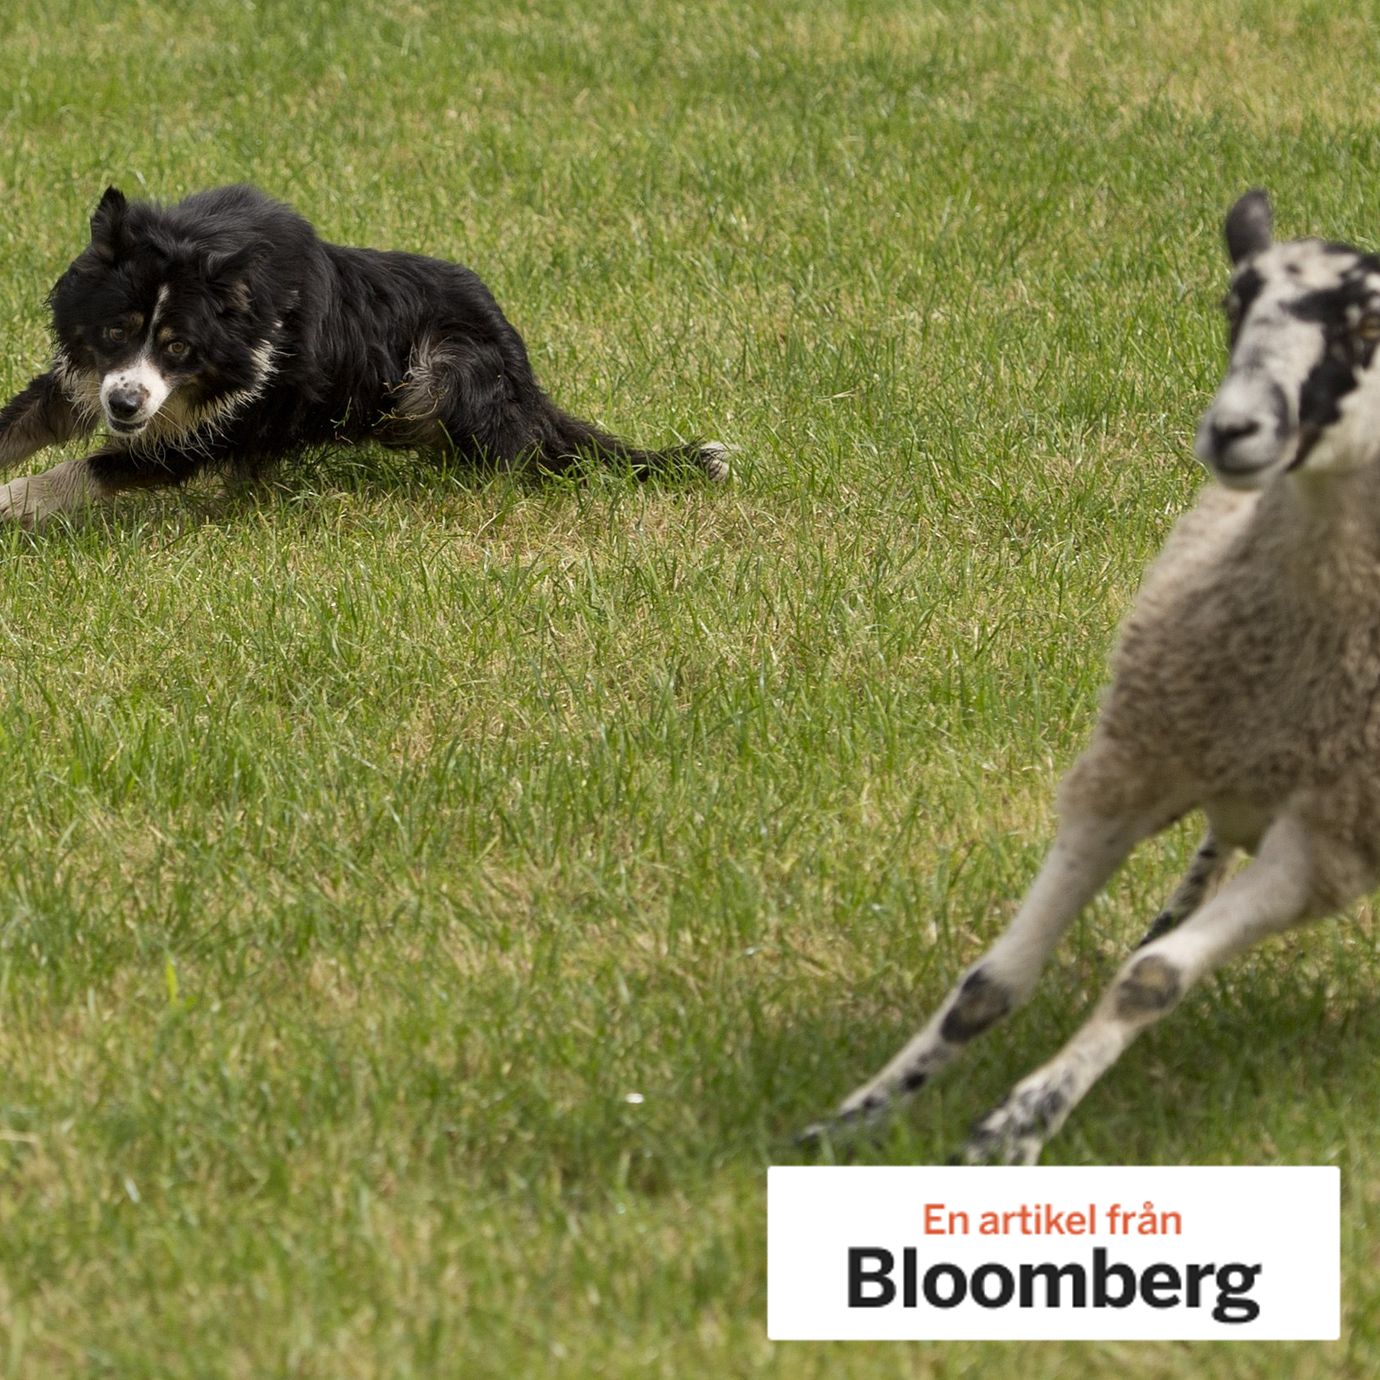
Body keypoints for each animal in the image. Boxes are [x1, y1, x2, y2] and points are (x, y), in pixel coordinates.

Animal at [806, 190, 1380, 1163]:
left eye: (1370, 323)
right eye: (1232, 304)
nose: (1233, 431)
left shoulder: (1327, 844)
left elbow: (1150, 982)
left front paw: (1014, 1128)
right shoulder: (1126, 766)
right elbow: (988, 985)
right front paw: (858, 1117)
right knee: (1210, 849)